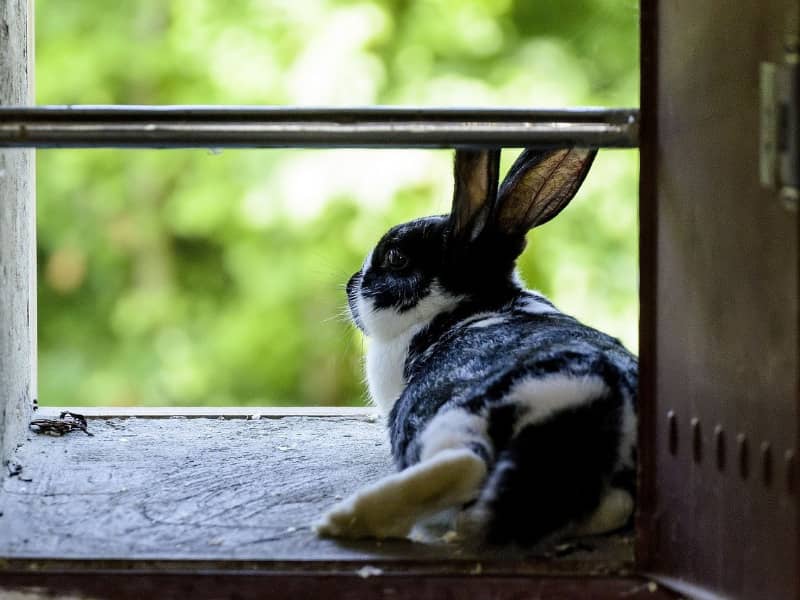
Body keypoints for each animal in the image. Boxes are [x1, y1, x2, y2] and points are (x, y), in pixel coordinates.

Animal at [316, 146, 636, 544]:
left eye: (396, 258)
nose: (350, 285)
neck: (470, 304)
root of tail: (602, 396)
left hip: (455, 417)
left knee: (465, 466)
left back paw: (344, 521)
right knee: (613, 506)